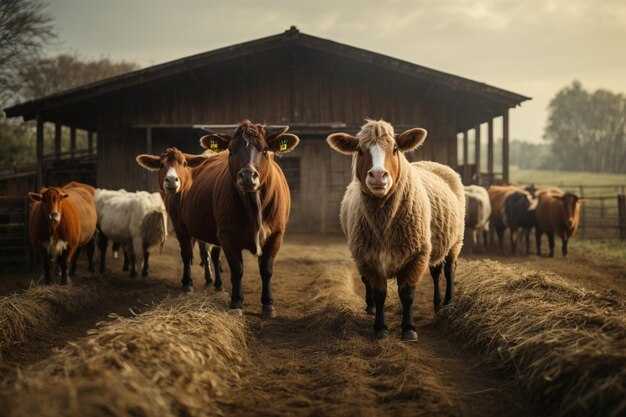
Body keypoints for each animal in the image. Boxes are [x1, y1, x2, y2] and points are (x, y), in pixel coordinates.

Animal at [136, 120, 298, 316]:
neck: (254, 205)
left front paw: (268, 303)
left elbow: (266, 268)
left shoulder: (276, 234)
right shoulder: (227, 234)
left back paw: (217, 284)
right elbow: (237, 268)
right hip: (180, 224)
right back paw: (188, 284)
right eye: (231, 150)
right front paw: (236, 301)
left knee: (211, 255)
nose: (247, 175)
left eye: (265, 150)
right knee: (187, 253)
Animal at [326, 118, 464, 340]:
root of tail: (429, 162)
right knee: (435, 272)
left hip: (456, 240)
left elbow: (407, 294)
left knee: (449, 270)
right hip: (434, 243)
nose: (378, 176)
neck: (384, 225)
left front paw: (409, 329)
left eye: (395, 148)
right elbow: (379, 293)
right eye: (360, 150)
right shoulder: (367, 257)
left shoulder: (417, 255)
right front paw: (380, 327)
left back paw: (448, 303)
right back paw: (437, 305)